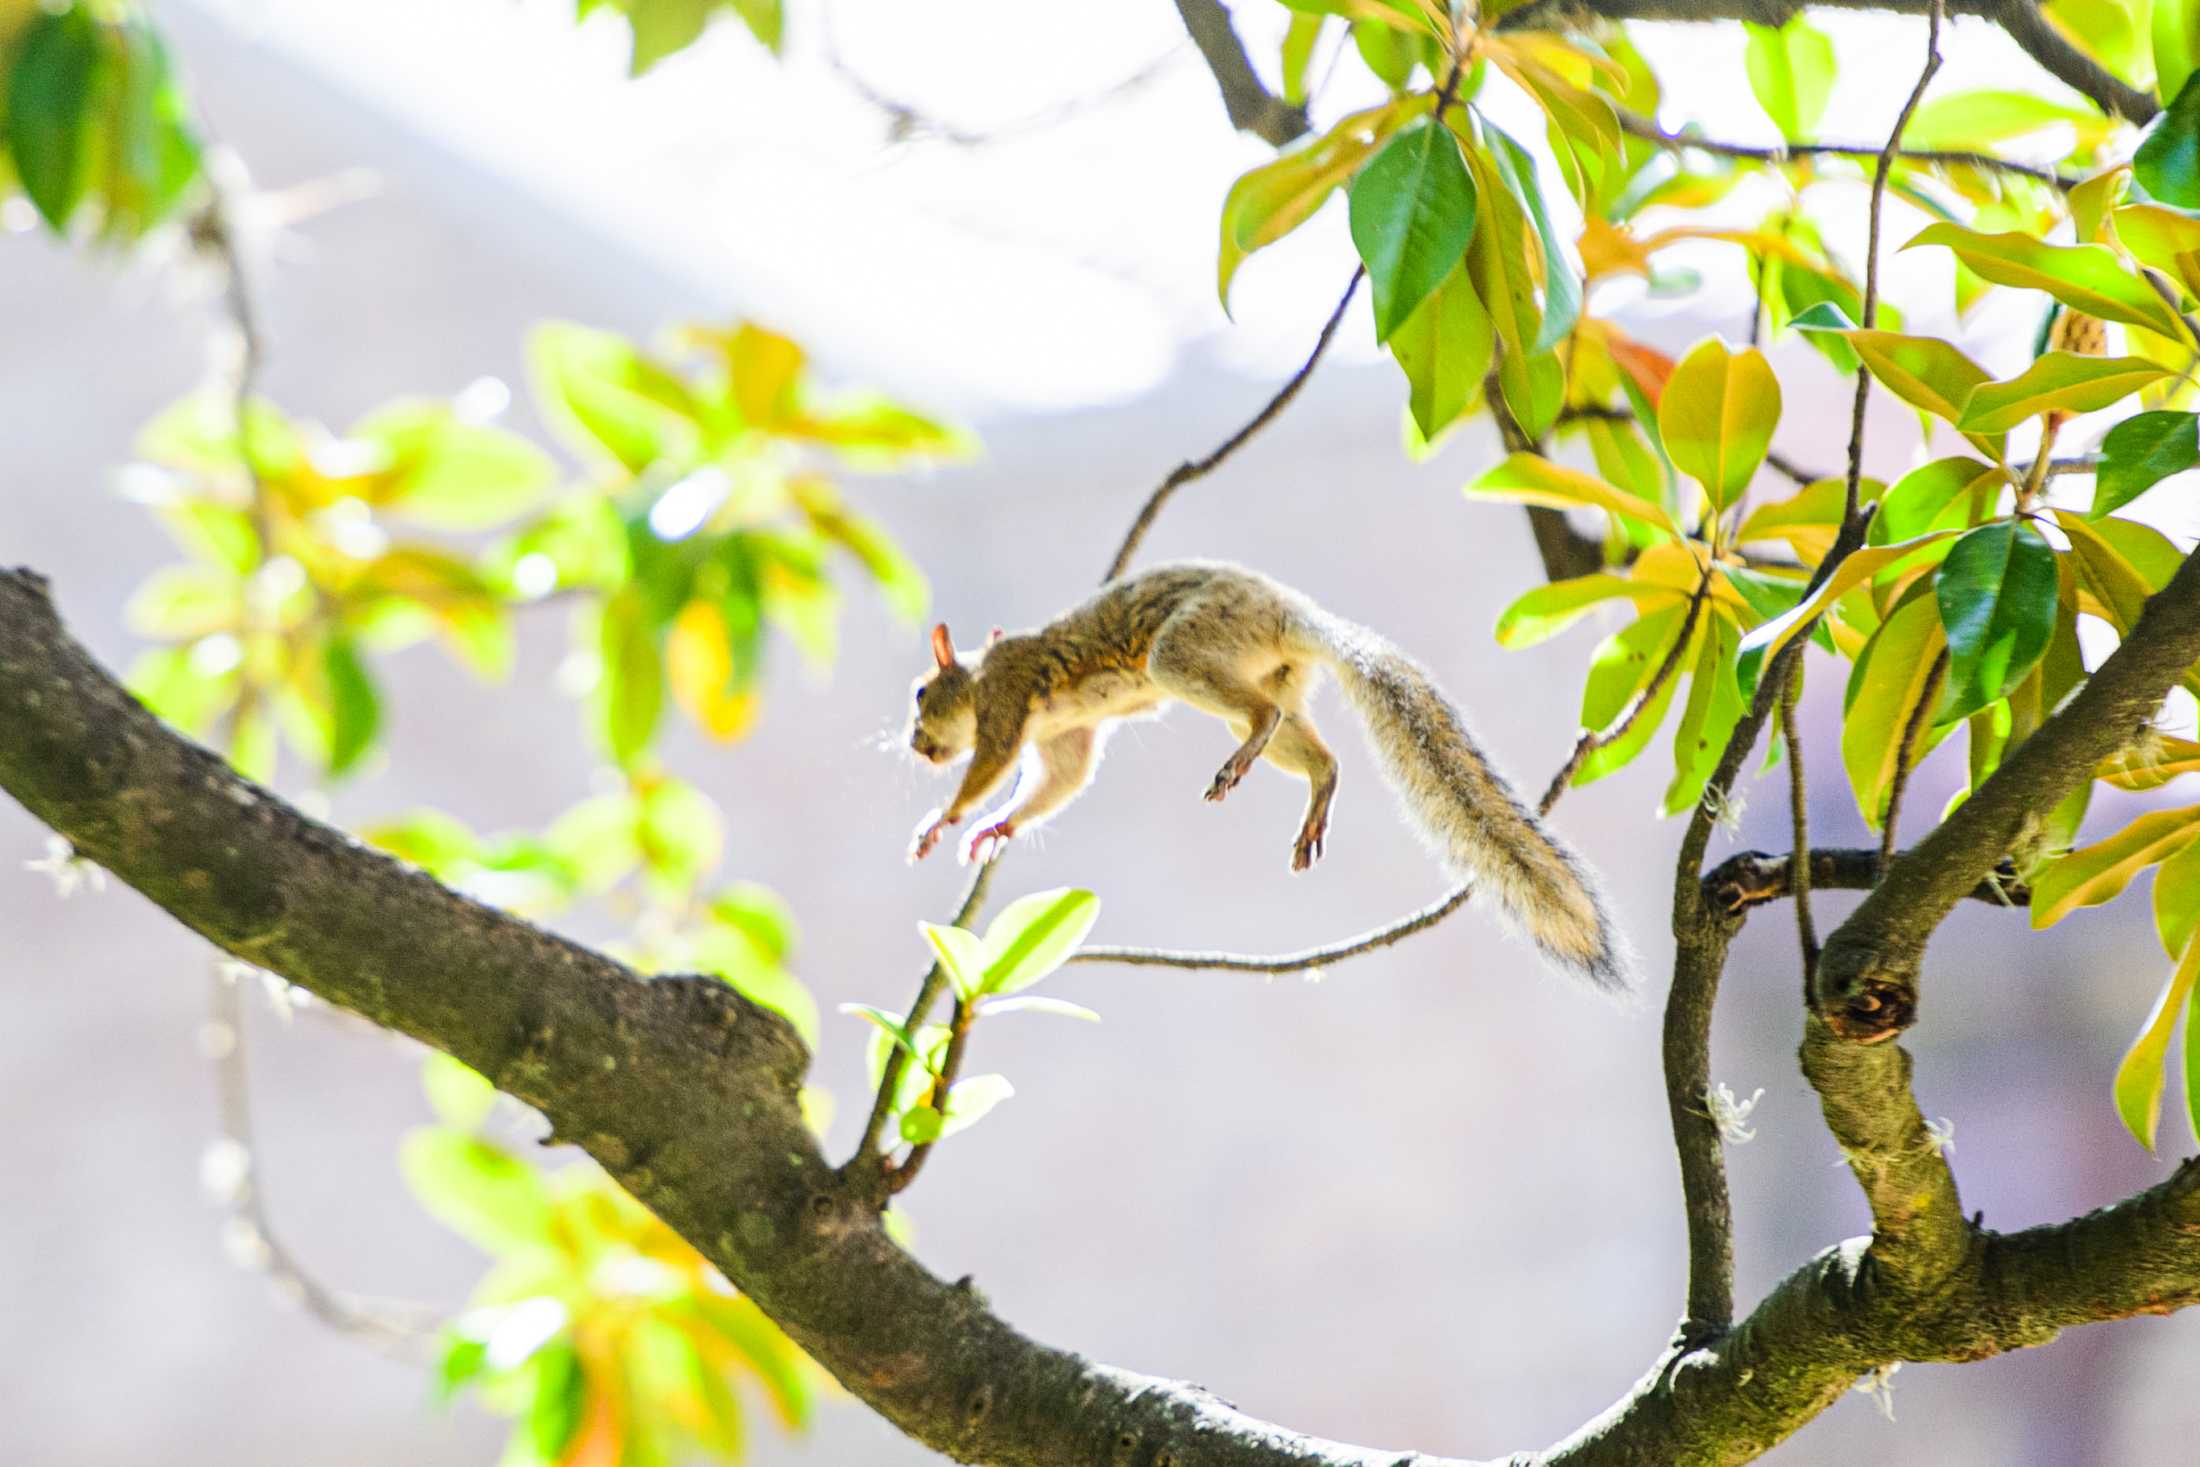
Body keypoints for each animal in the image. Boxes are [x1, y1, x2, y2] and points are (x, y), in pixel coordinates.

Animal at [897, 556, 1636, 994]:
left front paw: (942, 822)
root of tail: (1294, 615)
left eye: (920, 694)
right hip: (1275, 676)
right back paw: (1311, 811)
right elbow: (1059, 782)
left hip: (1186, 650)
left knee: (1258, 713)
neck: (981, 673)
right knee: (1319, 753)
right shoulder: (1066, 739)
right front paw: (996, 827)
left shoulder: (1006, 701)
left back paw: (1240, 762)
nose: (914, 744)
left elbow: (990, 765)